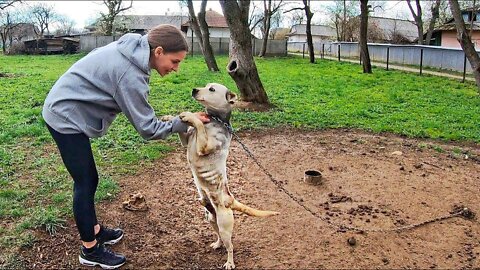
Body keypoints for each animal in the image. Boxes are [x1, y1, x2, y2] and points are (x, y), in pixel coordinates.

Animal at [164, 83, 280, 268]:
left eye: (211, 89)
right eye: (205, 85)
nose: (194, 90)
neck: (214, 120)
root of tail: (230, 200)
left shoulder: (203, 145)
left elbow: (199, 123)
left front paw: (189, 115)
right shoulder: (186, 141)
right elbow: (184, 131)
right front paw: (170, 117)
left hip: (225, 225)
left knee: (230, 246)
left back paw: (230, 262)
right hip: (211, 218)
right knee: (219, 236)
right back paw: (217, 244)